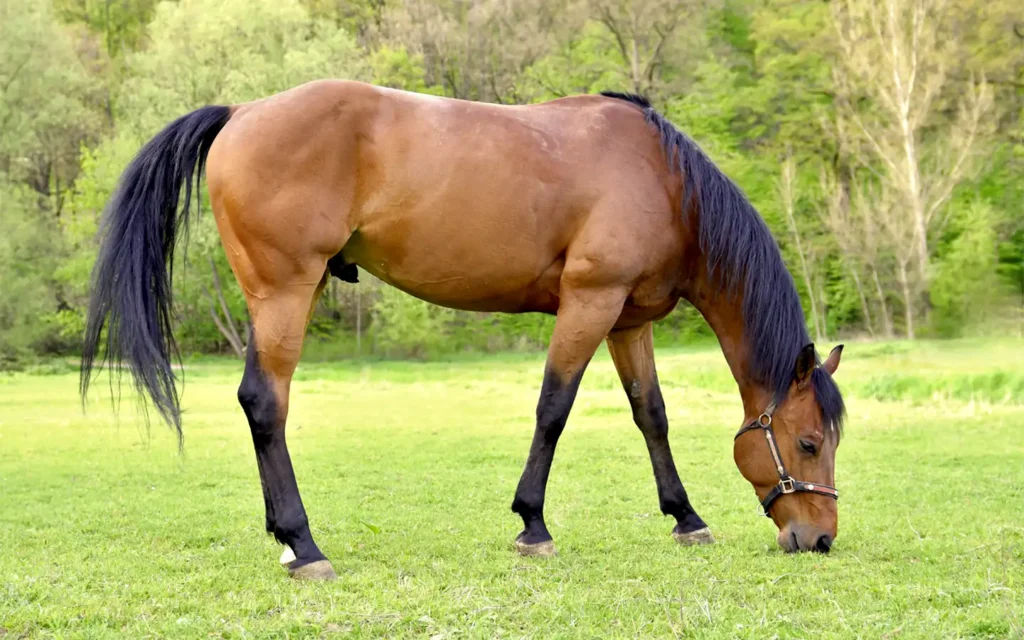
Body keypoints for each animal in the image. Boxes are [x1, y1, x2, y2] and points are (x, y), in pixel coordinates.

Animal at [81, 80, 846, 581]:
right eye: (808, 443)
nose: (819, 538)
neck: (661, 178)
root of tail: (242, 112)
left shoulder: (627, 319)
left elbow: (649, 414)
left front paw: (685, 517)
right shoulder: (589, 302)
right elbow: (553, 408)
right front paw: (532, 524)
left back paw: (288, 541)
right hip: (286, 293)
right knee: (266, 403)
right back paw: (305, 545)